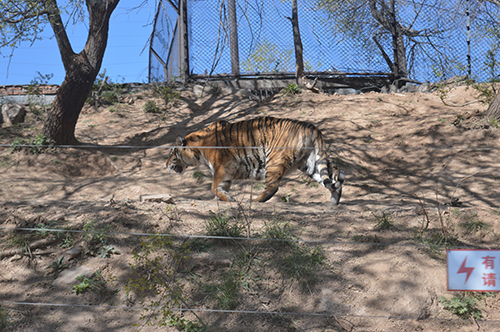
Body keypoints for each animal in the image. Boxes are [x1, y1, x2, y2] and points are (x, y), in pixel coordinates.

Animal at [166, 116, 346, 205]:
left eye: (172, 153)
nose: (166, 165)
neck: (198, 149)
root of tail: (311, 127)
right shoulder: (226, 171)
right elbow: (220, 188)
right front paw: (220, 198)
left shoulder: (222, 167)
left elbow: (214, 187)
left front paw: (228, 199)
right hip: (310, 164)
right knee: (330, 181)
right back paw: (333, 202)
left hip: (274, 160)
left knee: (272, 187)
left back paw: (253, 200)